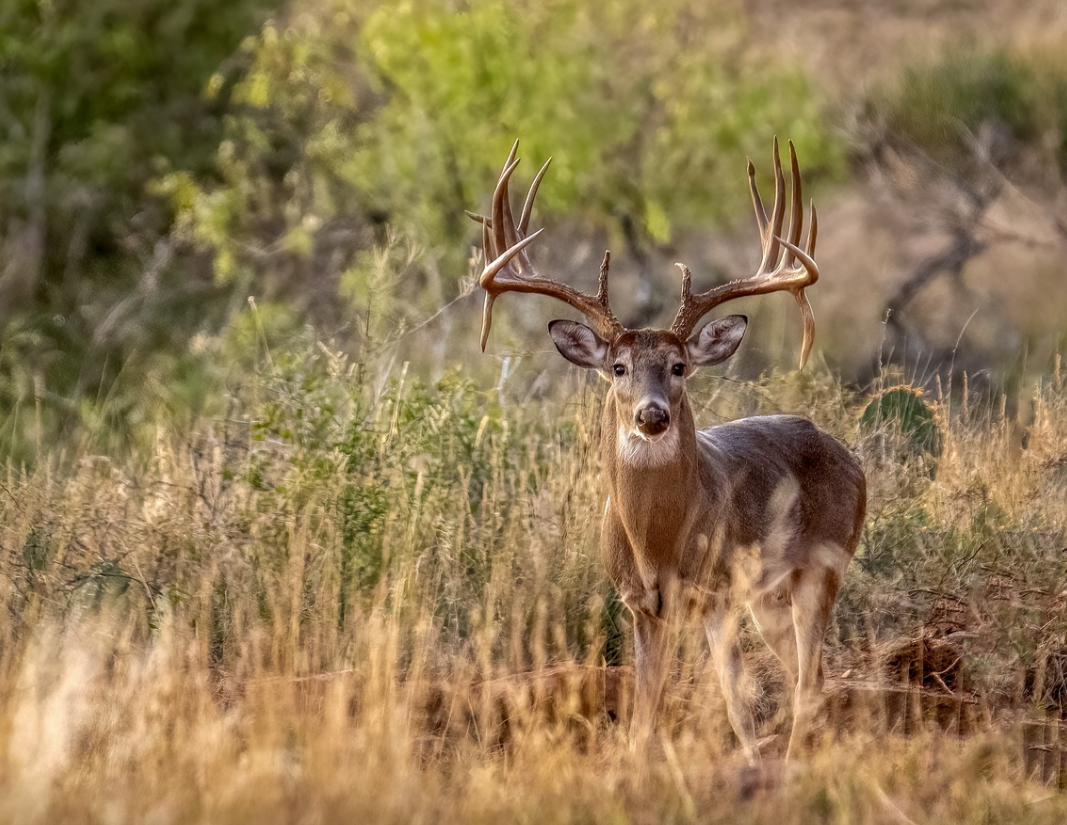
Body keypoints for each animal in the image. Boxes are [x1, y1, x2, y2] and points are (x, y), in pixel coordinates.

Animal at [468, 139, 866, 761]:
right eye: (617, 366)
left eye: (679, 366)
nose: (651, 415)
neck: (657, 543)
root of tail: (852, 459)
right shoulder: (639, 605)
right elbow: (644, 711)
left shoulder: (717, 592)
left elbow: (736, 701)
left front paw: (751, 761)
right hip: (769, 598)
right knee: (812, 676)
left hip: (823, 567)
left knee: (808, 678)